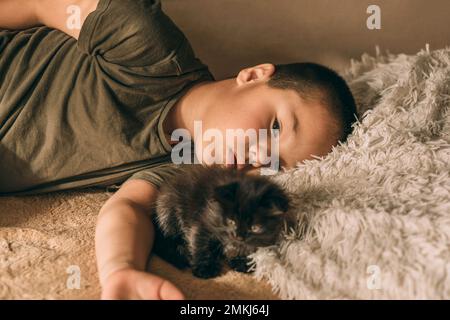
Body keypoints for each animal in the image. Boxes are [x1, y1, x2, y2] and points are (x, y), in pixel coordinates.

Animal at [152, 164, 292, 278]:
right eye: (231, 221)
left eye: (254, 227)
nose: (238, 236)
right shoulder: (203, 223)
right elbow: (200, 244)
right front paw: (205, 268)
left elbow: (246, 247)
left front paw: (241, 261)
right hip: (169, 211)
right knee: (170, 237)